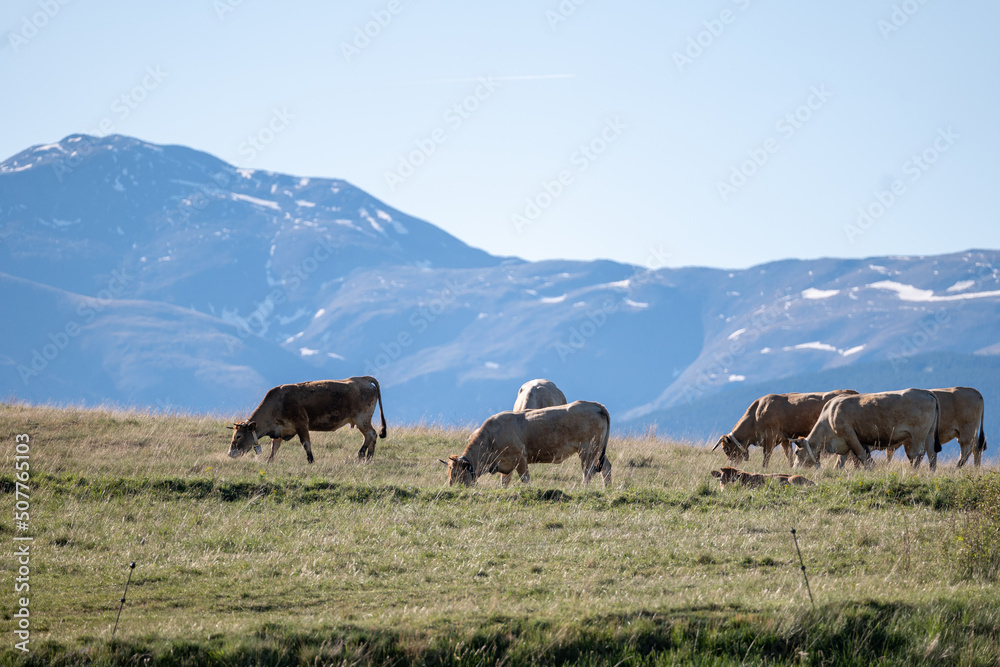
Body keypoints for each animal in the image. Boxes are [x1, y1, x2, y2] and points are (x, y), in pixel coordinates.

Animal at [228, 376, 386, 464]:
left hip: (362, 418)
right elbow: (275, 447)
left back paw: (361, 455)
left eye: (238, 436)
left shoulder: (301, 424)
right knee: (372, 435)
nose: (230, 453)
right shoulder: (279, 430)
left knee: (371, 434)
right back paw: (369, 457)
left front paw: (310, 460)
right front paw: (269, 460)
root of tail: (361, 379)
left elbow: (306, 443)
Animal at [444, 400, 608, 488]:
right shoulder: (505, 463)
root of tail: (595, 405)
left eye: (455, 472)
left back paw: (583, 488)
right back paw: (606, 488)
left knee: (588, 472)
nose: (452, 487)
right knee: (605, 467)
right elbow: (504, 481)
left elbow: (525, 478)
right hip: (597, 449)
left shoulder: (519, 457)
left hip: (588, 449)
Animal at [712, 388, 860, 468]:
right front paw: (790, 467)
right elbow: (788, 455)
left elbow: (766, 456)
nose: (730, 465)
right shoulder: (785, 439)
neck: (755, 416)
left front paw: (764, 469)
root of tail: (851, 391)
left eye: (725, 449)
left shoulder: (770, 437)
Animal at [792, 388, 940, 472]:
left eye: (797, 452)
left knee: (919, 453)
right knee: (932, 453)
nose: (794, 468)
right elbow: (842, 460)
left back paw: (914, 470)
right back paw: (931, 471)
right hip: (929, 433)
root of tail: (926, 392)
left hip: (918, 432)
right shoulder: (844, 442)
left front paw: (869, 470)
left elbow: (862, 455)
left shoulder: (850, 435)